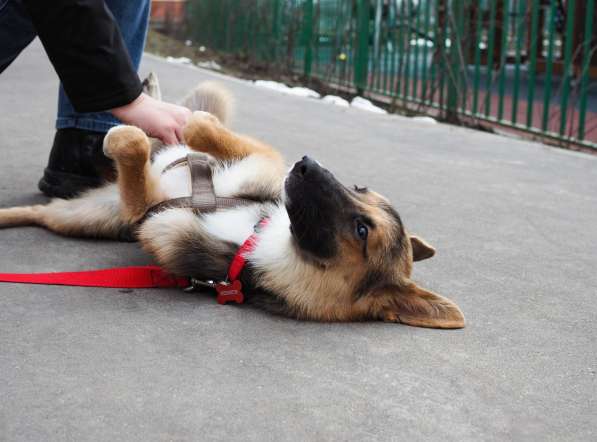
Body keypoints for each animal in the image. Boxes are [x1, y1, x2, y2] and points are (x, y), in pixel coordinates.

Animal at [0, 80, 464, 328]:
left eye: (362, 230)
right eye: (360, 186)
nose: (305, 164)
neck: (253, 235)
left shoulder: (145, 212)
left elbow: (136, 152)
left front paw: (127, 136)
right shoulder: (262, 160)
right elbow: (202, 128)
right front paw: (179, 126)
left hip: (87, 217)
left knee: (47, 212)